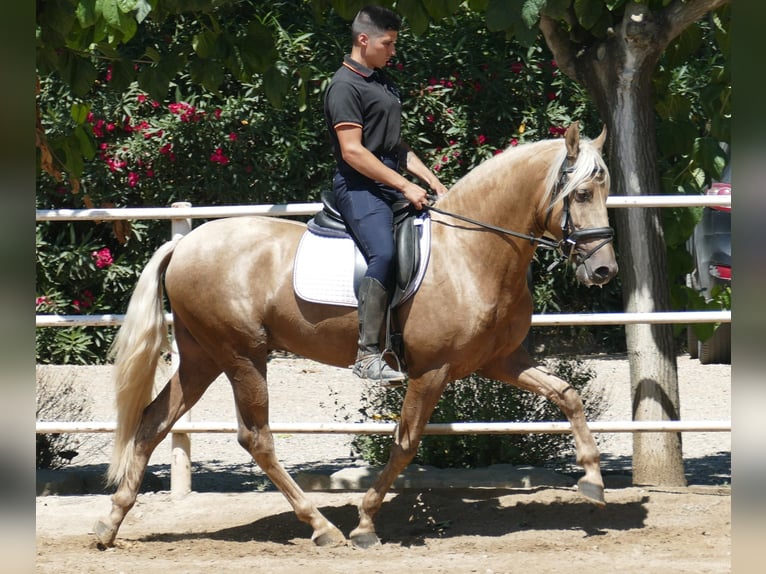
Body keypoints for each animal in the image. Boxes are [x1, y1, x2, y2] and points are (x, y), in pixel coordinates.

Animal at [94, 121, 616, 548]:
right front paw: (365, 524)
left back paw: (110, 524)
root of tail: (184, 244)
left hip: (204, 356)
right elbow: (405, 444)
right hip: (242, 355)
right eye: (581, 194)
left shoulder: (500, 360)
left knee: (153, 421)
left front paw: (592, 480)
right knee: (255, 438)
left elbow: (568, 394)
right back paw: (322, 527)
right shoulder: (431, 372)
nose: (604, 270)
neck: (471, 252)